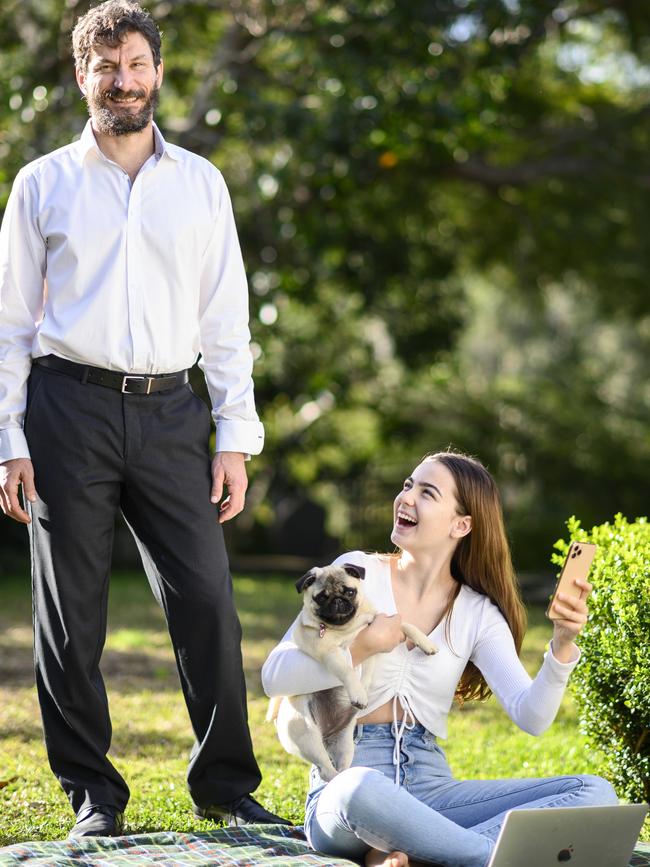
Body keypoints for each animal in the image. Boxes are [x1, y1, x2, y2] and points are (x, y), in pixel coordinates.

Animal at [266, 568, 438, 784]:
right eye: (321, 597)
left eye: (349, 592)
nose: (338, 600)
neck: (347, 628)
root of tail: (326, 733)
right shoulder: (330, 653)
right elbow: (348, 670)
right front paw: (358, 693)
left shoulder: (382, 621)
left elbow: (407, 625)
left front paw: (426, 643)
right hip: (308, 737)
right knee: (326, 771)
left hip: (346, 746)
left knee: (341, 765)